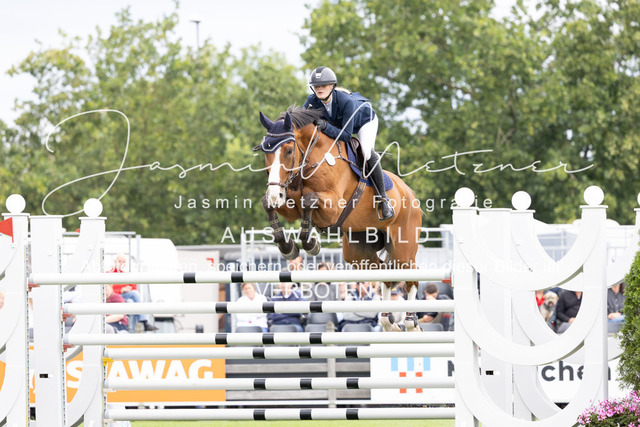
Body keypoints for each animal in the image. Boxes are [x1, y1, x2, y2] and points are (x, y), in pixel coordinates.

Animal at [253, 106, 423, 331]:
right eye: (266, 151)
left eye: (289, 150)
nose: (274, 193)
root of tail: (410, 193)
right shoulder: (288, 203)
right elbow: (270, 204)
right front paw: (288, 246)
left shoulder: (333, 207)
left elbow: (308, 199)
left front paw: (309, 243)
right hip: (358, 251)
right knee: (386, 273)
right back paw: (388, 321)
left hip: (404, 246)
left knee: (411, 275)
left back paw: (411, 322)